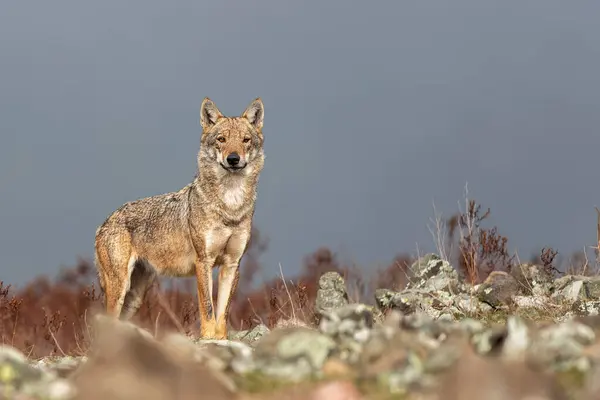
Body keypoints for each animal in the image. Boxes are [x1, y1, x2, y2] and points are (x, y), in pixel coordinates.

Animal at [95, 97, 266, 338]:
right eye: (221, 140)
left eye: (245, 140)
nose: (233, 159)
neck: (230, 205)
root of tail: (105, 221)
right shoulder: (203, 262)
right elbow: (207, 308)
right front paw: (208, 338)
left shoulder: (232, 264)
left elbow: (222, 313)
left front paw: (221, 339)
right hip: (119, 288)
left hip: (135, 298)